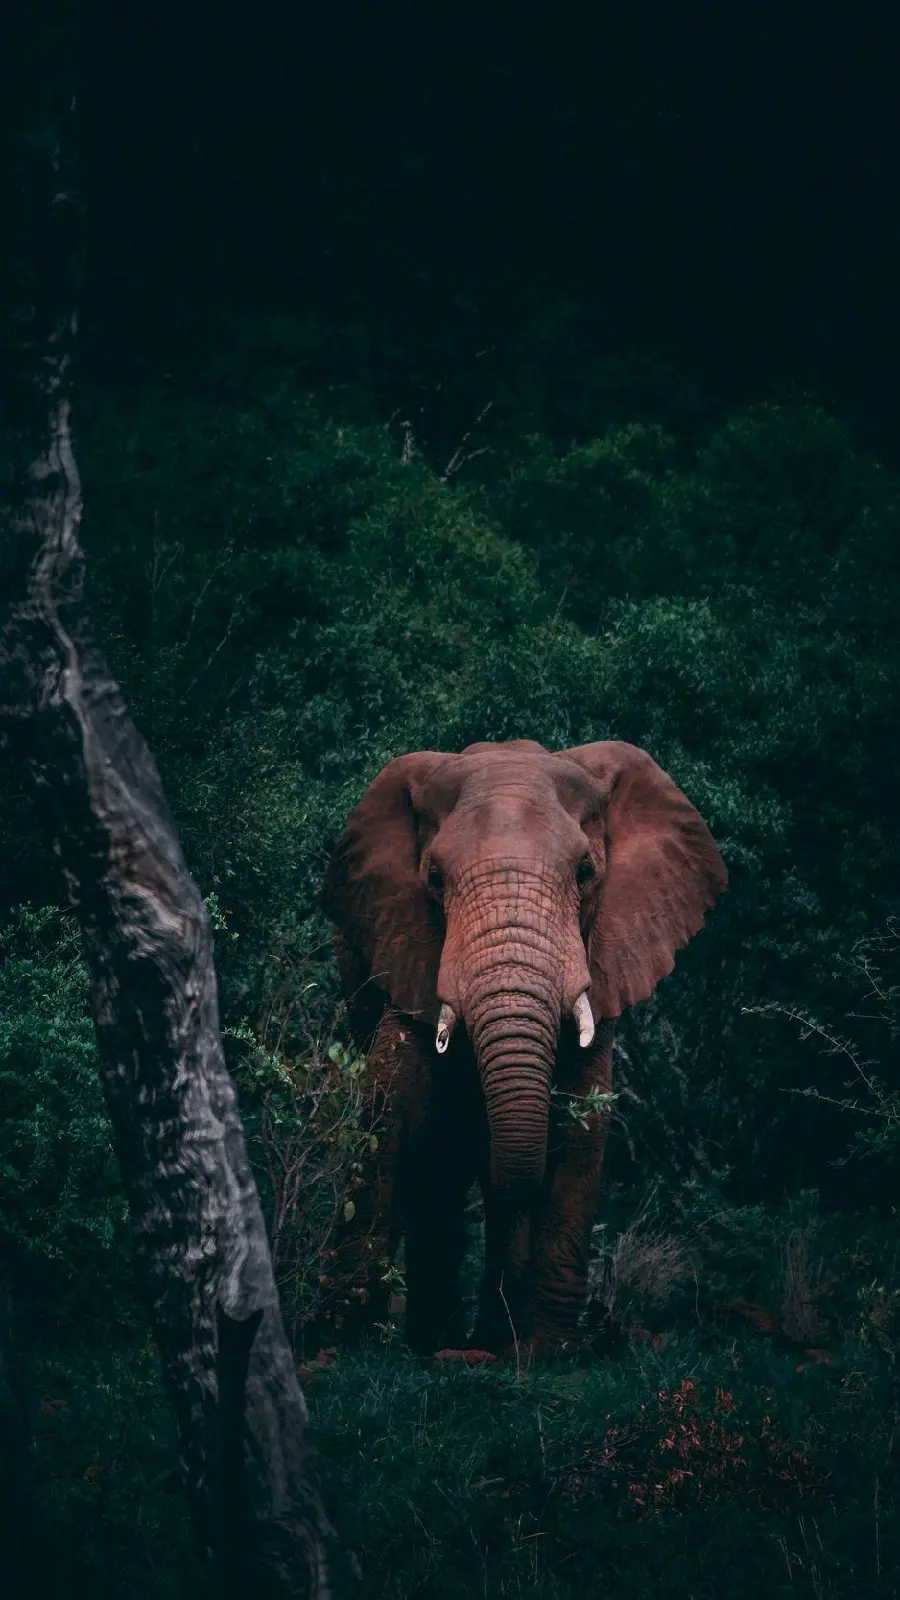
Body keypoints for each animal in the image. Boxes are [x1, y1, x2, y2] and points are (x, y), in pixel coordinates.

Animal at [318, 732, 723, 1350]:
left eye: (585, 871)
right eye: (434, 878)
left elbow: (585, 1119)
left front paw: (544, 1349)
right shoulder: (402, 943)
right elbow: (391, 1106)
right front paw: (345, 1338)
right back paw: (440, 1340)